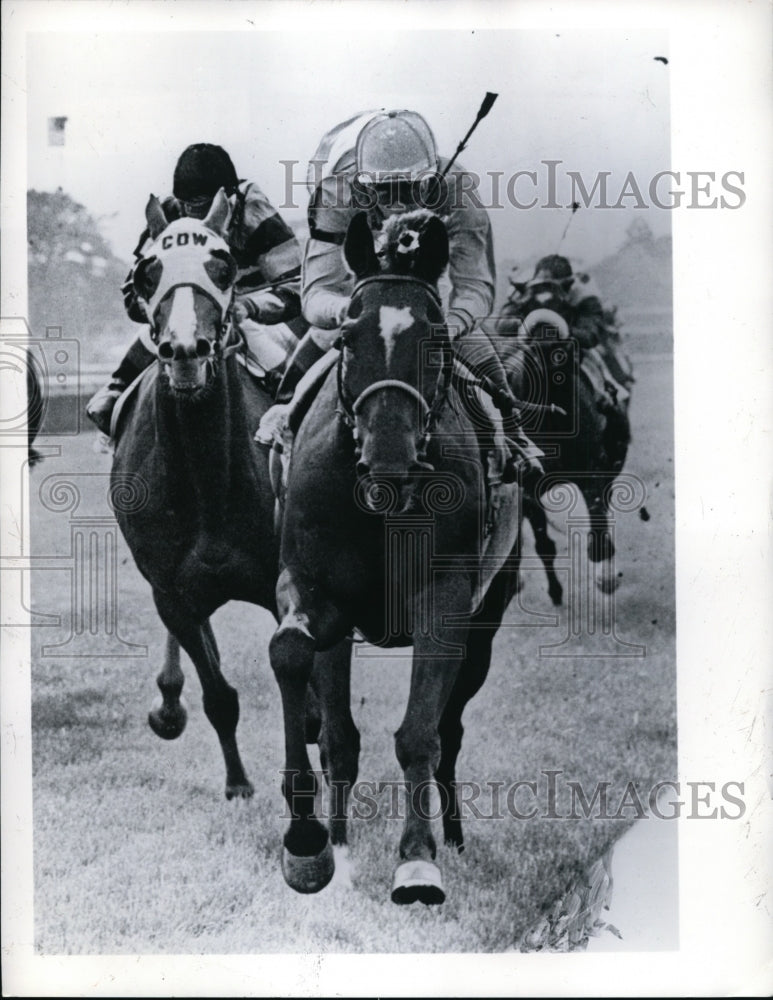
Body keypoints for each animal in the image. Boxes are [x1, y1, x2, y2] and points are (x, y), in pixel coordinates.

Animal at [113, 191, 282, 800]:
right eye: (148, 271)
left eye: (224, 265)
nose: (185, 350)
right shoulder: (173, 593)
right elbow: (219, 697)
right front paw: (238, 786)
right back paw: (167, 704)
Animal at [266, 213, 524, 908]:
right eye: (348, 336)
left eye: (435, 338)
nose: (389, 461)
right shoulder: (314, 591)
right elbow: (295, 664)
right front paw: (311, 845)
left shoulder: (447, 600)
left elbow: (419, 735)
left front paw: (417, 861)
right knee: (339, 733)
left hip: (487, 621)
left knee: (450, 732)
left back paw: (453, 837)